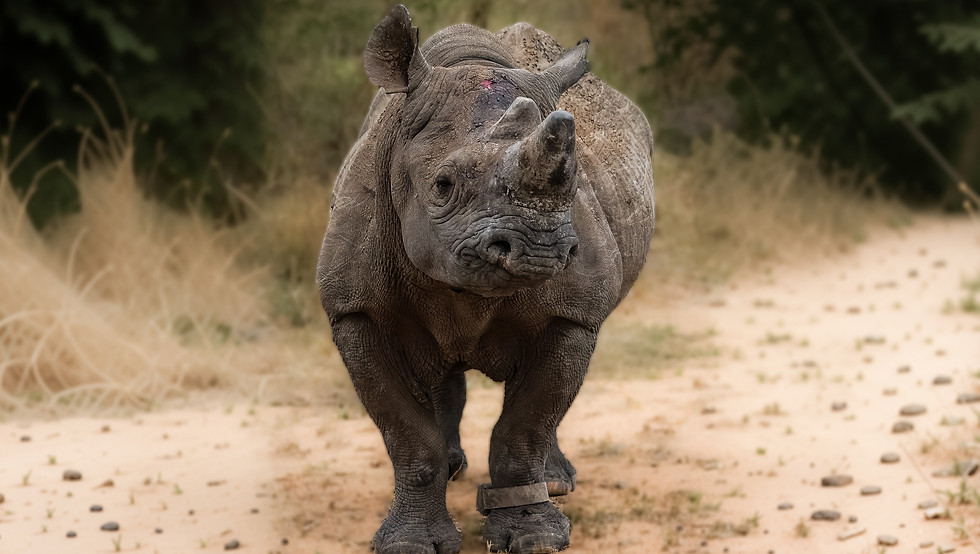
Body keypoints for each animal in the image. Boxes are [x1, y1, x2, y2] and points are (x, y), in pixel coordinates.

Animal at [316, 5, 654, 553]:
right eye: (442, 186)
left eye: (573, 181)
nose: (539, 248)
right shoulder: (354, 310)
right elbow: (407, 436)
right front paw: (411, 543)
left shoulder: (574, 314)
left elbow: (527, 425)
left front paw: (534, 536)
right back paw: (456, 467)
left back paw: (556, 481)